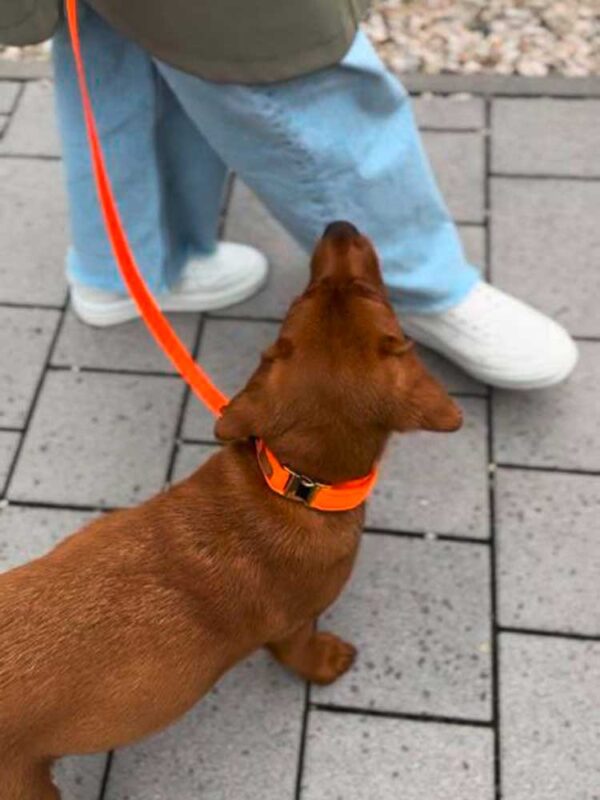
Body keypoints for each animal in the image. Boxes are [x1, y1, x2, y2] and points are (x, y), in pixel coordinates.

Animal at [0, 222, 462, 796]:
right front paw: (327, 663)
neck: (291, 486)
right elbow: (301, 655)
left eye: (309, 295)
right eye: (373, 295)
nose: (339, 226)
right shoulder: (294, 626)